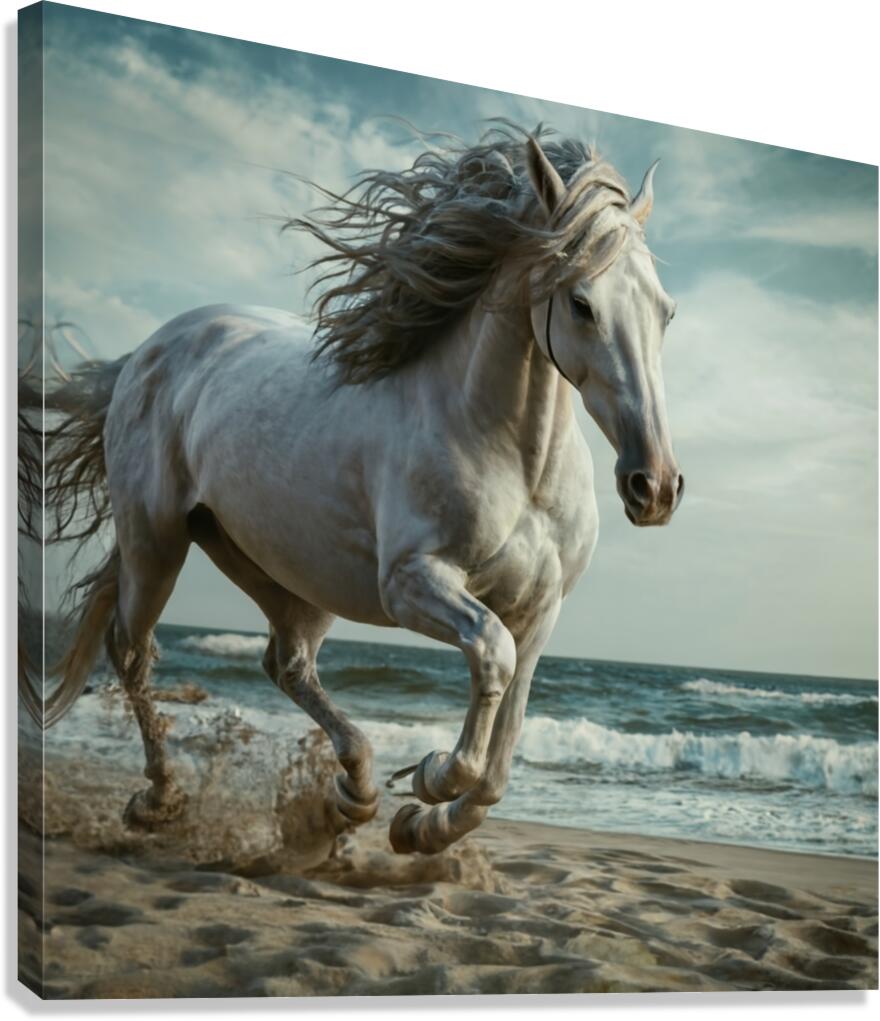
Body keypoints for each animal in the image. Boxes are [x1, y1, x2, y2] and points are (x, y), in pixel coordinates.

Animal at [27, 123, 683, 856]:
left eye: (665, 312)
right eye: (580, 303)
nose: (655, 485)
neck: (518, 461)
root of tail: (145, 351)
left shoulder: (541, 608)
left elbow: (500, 759)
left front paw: (422, 824)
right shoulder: (411, 583)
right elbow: (492, 656)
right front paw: (430, 775)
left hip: (278, 566)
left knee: (286, 664)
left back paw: (354, 794)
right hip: (156, 542)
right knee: (133, 650)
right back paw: (161, 800)